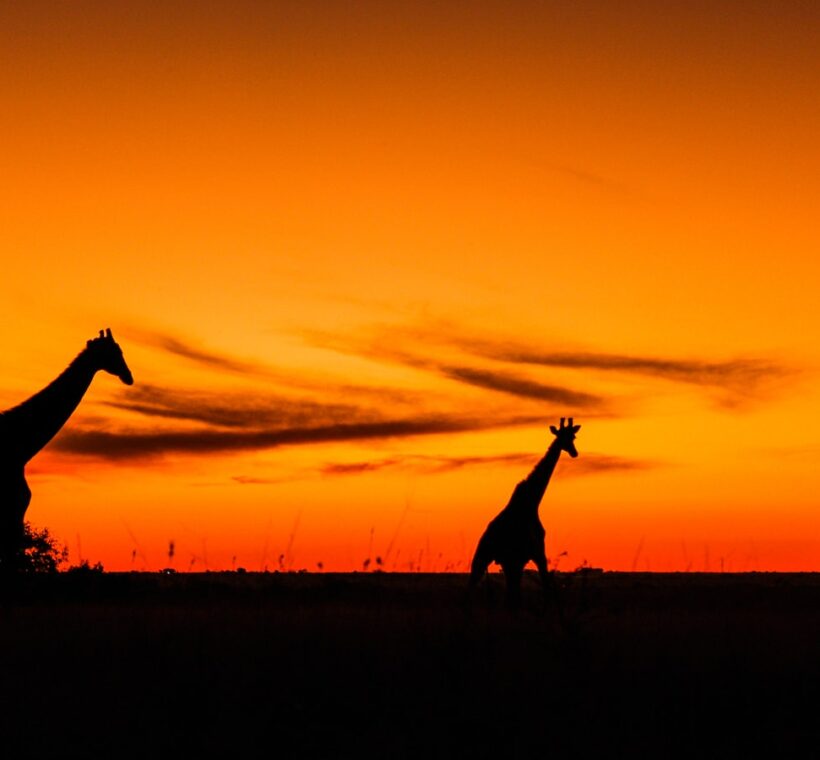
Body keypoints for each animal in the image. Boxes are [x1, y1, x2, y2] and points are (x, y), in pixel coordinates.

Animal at [470, 418, 580, 608]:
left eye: (573, 436)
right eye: (562, 437)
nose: (574, 452)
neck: (532, 502)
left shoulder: (520, 558)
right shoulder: (538, 551)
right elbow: (546, 586)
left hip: (504, 561)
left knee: (509, 596)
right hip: (489, 558)